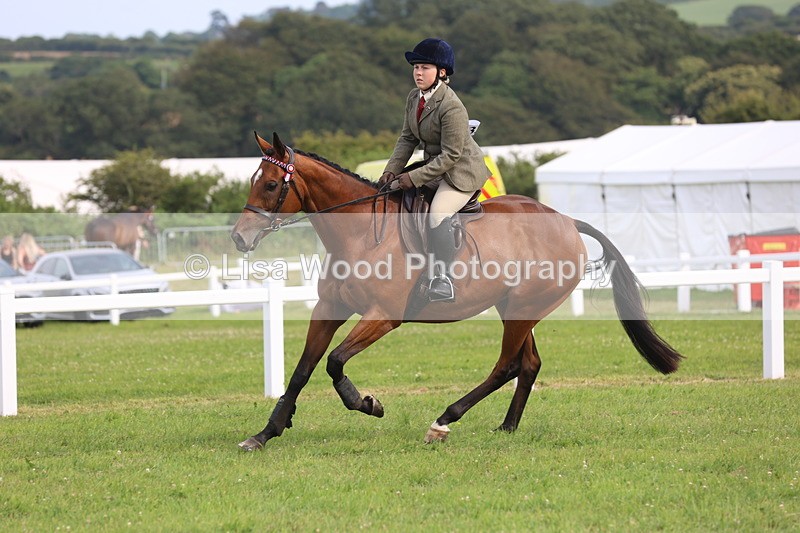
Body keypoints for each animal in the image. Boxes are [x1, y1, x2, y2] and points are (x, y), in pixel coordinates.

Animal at [231, 132, 683, 451]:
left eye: (270, 185)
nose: (238, 238)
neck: (360, 235)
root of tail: (568, 221)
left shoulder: (383, 317)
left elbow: (335, 362)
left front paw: (368, 404)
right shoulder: (328, 307)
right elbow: (303, 369)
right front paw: (266, 433)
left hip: (523, 307)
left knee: (507, 365)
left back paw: (443, 421)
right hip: (513, 307)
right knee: (528, 363)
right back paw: (507, 427)